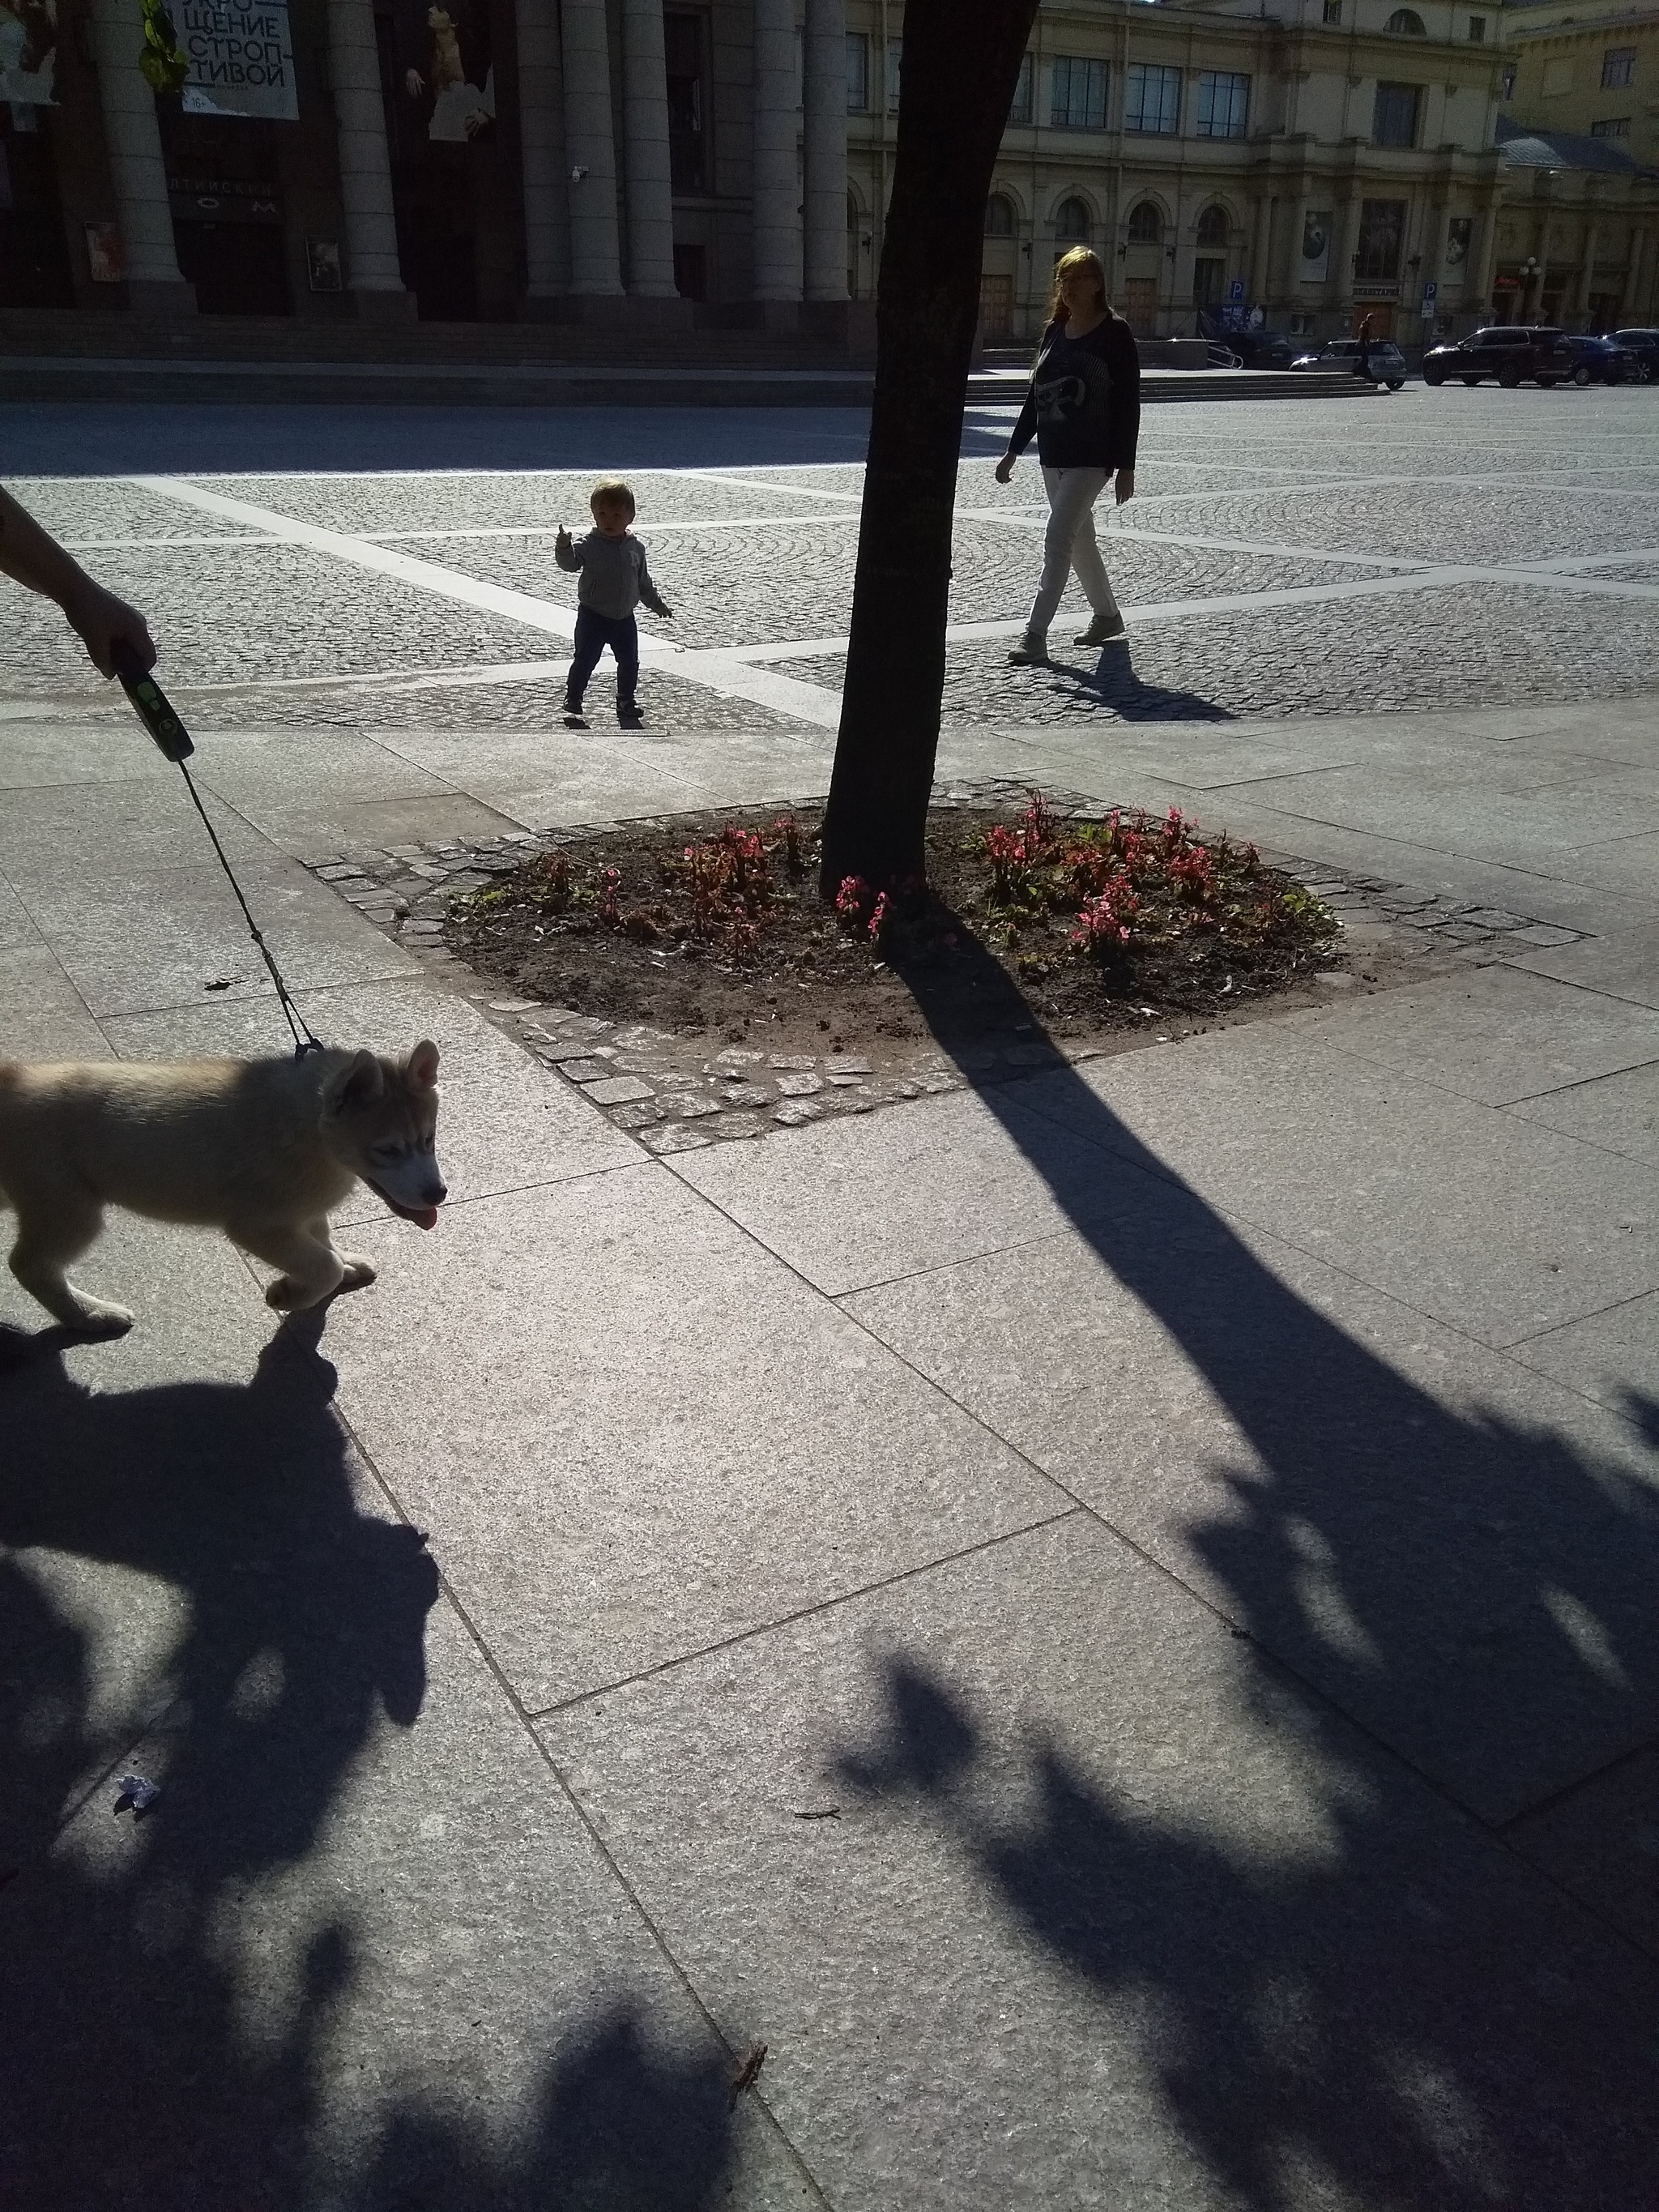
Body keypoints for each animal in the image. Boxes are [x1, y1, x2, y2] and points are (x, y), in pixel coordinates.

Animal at [0, 1044, 449, 1335]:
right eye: (387, 1150)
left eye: (429, 1140)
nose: (438, 1195)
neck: (310, 1127)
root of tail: (14, 1077)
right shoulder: (256, 1226)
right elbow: (323, 1265)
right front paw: (292, 1292)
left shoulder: (306, 1210)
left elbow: (323, 1243)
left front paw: (346, 1263)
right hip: (69, 1208)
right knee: (28, 1264)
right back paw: (88, 1316)